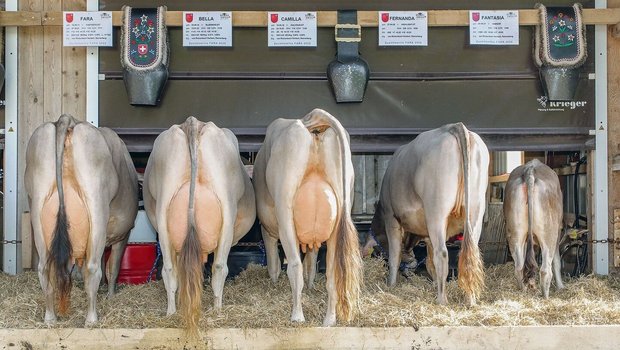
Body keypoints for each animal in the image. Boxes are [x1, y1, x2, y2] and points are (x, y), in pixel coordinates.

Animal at [24, 115, 139, 326]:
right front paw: (110, 295)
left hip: (37, 205)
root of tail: (67, 120)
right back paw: (91, 319)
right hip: (96, 203)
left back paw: (50, 318)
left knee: (44, 268)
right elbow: (113, 267)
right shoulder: (123, 235)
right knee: (93, 268)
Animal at [143, 116, 254, 332]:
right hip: (227, 214)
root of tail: (193, 122)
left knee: (170, 269)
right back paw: (218, 311)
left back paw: (172, 312)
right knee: (219, 267)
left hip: (162, 215)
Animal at [253, 108, 364, 326]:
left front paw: (274, 282)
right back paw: (329, 319)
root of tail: (311, 120)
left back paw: (297, 316)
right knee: (332, 272)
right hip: (339, 216)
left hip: (285, 210)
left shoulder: (267, 229)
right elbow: (311, 263)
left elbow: (274, 262)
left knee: (294, 266)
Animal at [378, 123, 490, 306]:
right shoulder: (427, 235)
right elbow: (430, 263)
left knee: (442, 254)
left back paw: (442, 300)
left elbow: (395, 256)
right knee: (470, 253)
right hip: (475, 211)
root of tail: (454, 126)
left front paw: (391, 284)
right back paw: (470, 299)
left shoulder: (391, 218)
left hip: (436, 211)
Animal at [506, 159, 564, 298]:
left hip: (514, 233)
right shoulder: (558, 232)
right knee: (545, 270)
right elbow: (557, 261)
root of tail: (530, 169)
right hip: (549, 233)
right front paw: (560, 286)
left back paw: (523, 292)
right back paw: (546, 297)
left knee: (519, 267)